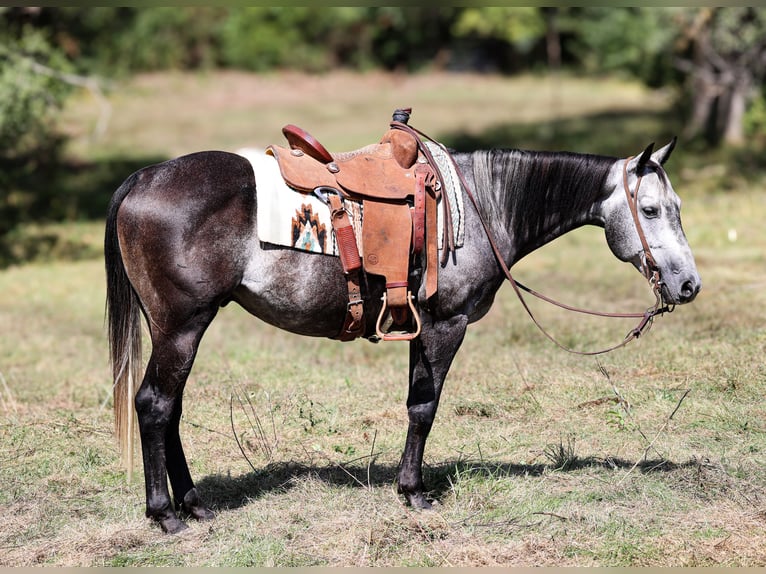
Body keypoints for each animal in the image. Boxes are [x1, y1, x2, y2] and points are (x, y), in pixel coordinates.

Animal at [106, 136, 704, 536]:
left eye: (677, 208)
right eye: (650, 209)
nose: (688, 284)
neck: (483, 203)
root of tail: (144, 177)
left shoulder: (422, 326)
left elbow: (419, 404)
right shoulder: (445, 324)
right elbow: (424, 407)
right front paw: (414, 493)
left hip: (177, 327)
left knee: (170, 409)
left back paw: (193, 504)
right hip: (182, 325)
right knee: (155, 404)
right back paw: (166, 515)